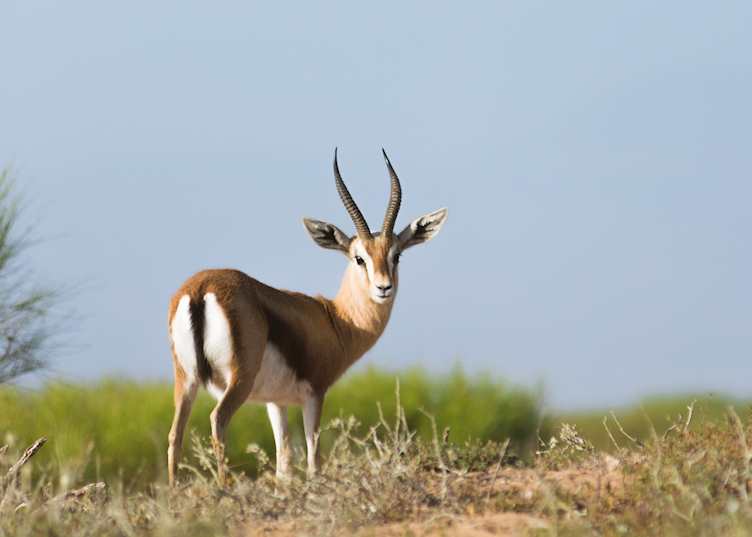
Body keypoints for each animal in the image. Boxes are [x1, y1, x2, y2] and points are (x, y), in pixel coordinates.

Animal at [166, 149, 448, 485]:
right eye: (359, 258)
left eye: (397, 255)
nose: (383, 287)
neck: (335, 320)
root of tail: (200, 289)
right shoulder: (315, 393)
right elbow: (313, 460)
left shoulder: (276, 402)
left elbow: (284, 463)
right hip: (238, 381)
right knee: (218, 420)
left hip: (185, 381)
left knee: (175, 435)